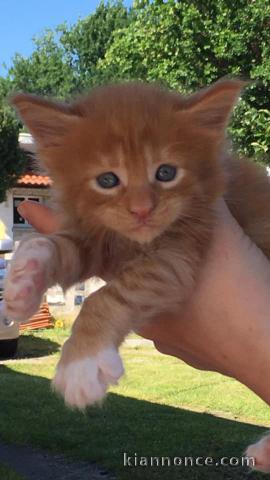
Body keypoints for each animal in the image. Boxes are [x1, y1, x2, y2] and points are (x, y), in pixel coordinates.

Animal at [3, 79, 270, 420]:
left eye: (166, 173)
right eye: (107, 179)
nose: (142, 210)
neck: (133, 242)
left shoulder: (178, 252)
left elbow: (106, 297)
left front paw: (80, 365)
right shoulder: (99, 236)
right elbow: (52, 245)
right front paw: (24, 280)